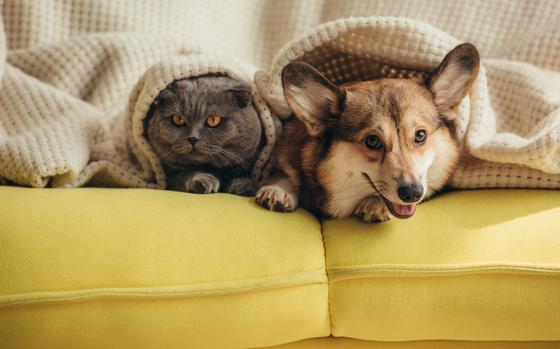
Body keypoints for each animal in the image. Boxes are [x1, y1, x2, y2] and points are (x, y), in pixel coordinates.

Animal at [256, 43, 480, 222]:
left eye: (420, 135)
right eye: (372, 141)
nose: (412, 194)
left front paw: (374, 204)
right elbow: (285, 172)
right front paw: (279, 189)